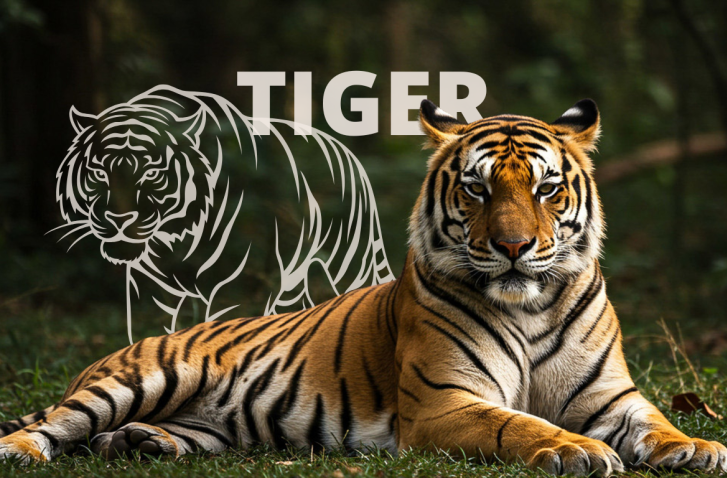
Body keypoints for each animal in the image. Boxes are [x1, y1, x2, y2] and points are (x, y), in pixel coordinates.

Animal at [53, 85, 394, 342]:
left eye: (151, 173)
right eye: (99, 172)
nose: (119, 220)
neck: (175, 237)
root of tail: (352, 158)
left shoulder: (233, 287)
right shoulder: (147, 287)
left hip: (347, 266)